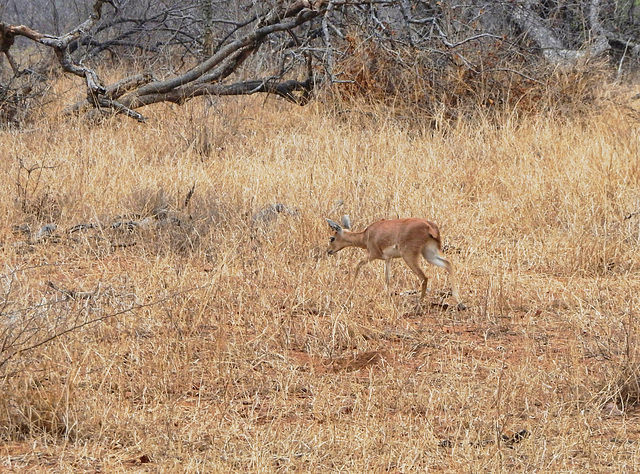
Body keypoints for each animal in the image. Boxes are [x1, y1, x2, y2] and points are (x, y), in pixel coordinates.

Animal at [324, 216, 464, 312]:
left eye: (332, 238)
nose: (328, 251)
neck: (366, 235)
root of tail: (430, 226)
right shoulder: (388, 259)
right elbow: (387, 278)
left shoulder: (372, 254)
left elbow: (358, 265)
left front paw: (352, 290)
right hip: (429, 254)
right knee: (448, 264)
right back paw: (460, 303)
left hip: (409, 256)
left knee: (424, 277)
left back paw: (417, 306)